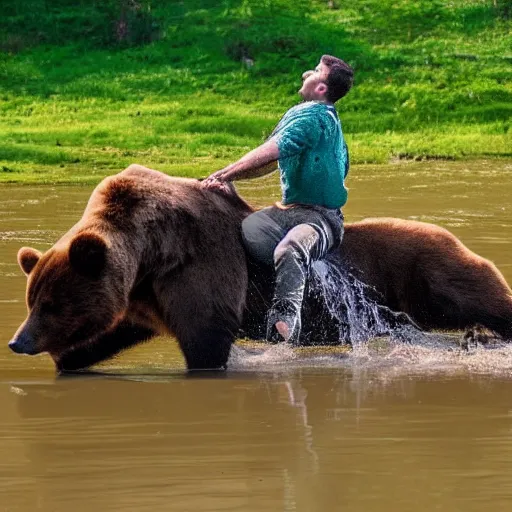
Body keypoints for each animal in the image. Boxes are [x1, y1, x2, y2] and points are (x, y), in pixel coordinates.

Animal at [9, 165, 512, 372]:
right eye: (33, 300)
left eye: (51, 303)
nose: (18, 341)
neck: (150, 253)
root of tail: (451, 233)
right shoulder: (143, 298)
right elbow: (108, 335)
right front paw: (70, 361)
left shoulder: (200, 269)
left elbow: (206, 341)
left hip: (424, 271)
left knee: (473, 293)